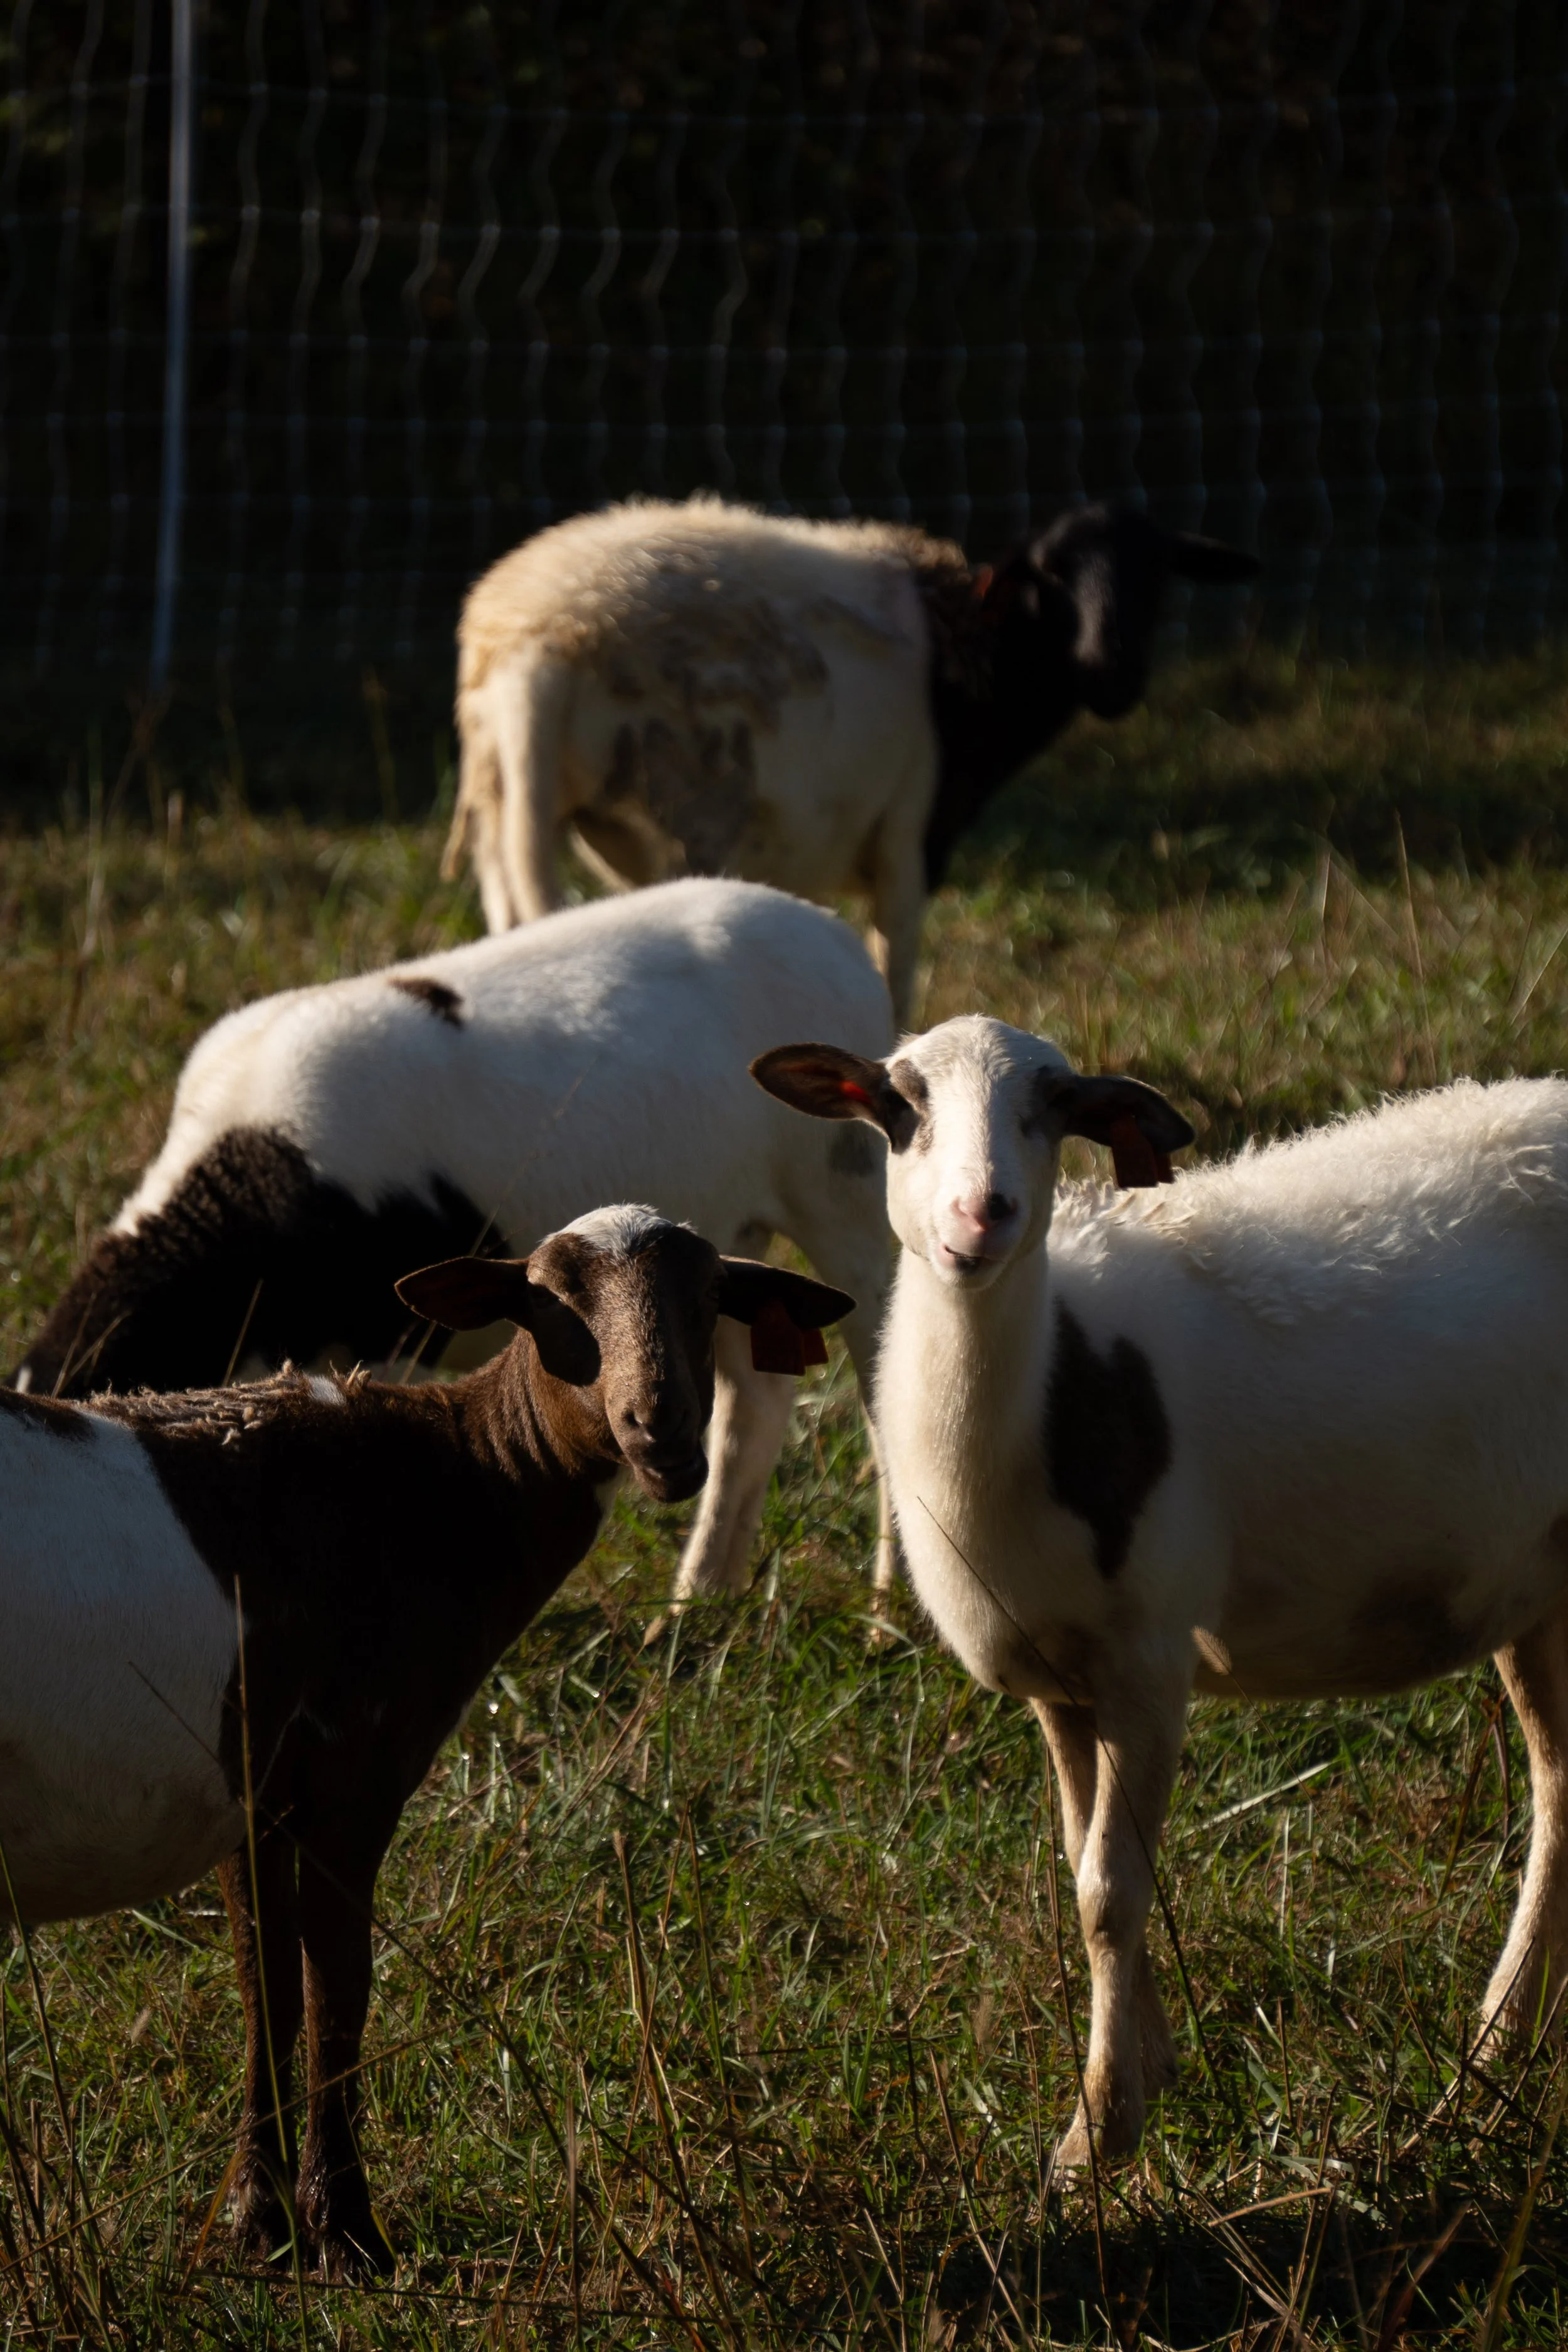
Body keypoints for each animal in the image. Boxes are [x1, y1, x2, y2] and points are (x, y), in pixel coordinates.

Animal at [0, 1206, 852, 2275]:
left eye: (711, 1300)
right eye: (551, 1300)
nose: (660, 1436)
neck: (452, 1481)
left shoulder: (253, 1788)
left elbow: (264, 1981)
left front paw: (259, 2220)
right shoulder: (351, 1773)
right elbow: (337, 1989)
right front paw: (345, 2235)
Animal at [15, 878, 895, 1599]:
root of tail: (832, 931)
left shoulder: (389, 1332)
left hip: (846, 1202)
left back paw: (889, 1602)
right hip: (730, 1236)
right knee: (758, 1404)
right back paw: (697, 1600)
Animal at [444, 496, 1257, 1018]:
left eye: (1157, 577)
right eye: (1051, 578)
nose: (1112, 673)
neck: (976, 655)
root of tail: (539, 646)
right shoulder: (910, 835)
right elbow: (892, 979)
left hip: (502, 804)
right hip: (690, 821)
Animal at [754, 1018, 1568, 2164]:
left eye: (1054, 1108)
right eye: (899, 1104)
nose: (982, 1213)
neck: (1046, 1393)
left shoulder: (1147, 1656)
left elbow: (1109, 1889)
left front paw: (1094, 2139)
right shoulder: (1057, 1674)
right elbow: (1078, 1856)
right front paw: (1146, 2078)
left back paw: (1489, 2059)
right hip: (1533, 1574)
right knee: (1560, 1782)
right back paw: (1499, 2057)